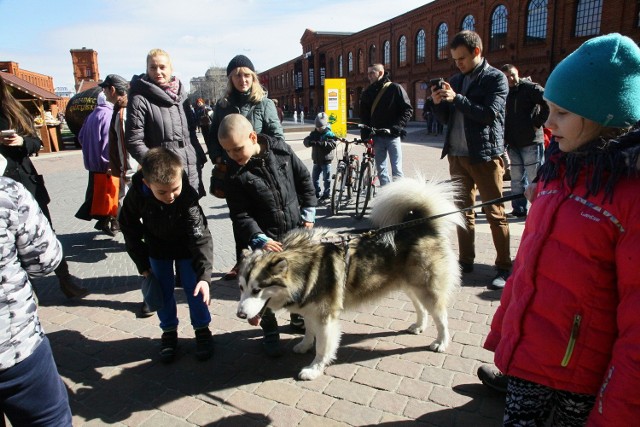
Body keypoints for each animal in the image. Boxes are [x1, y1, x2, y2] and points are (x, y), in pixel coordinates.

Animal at [238, 177, 462, 382]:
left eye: (257, 290)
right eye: (241, 288)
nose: (240, 314)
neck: (304, 267)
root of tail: (423, 225)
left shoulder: (326, 316)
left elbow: (322, 347)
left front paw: (314, 369)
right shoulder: (310, 308)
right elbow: (309, 331)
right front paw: (304, 345)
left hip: (426, 288)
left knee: (441, 316)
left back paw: (441, 342)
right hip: (409, 285)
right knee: (420, 307)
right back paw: (419, 326)